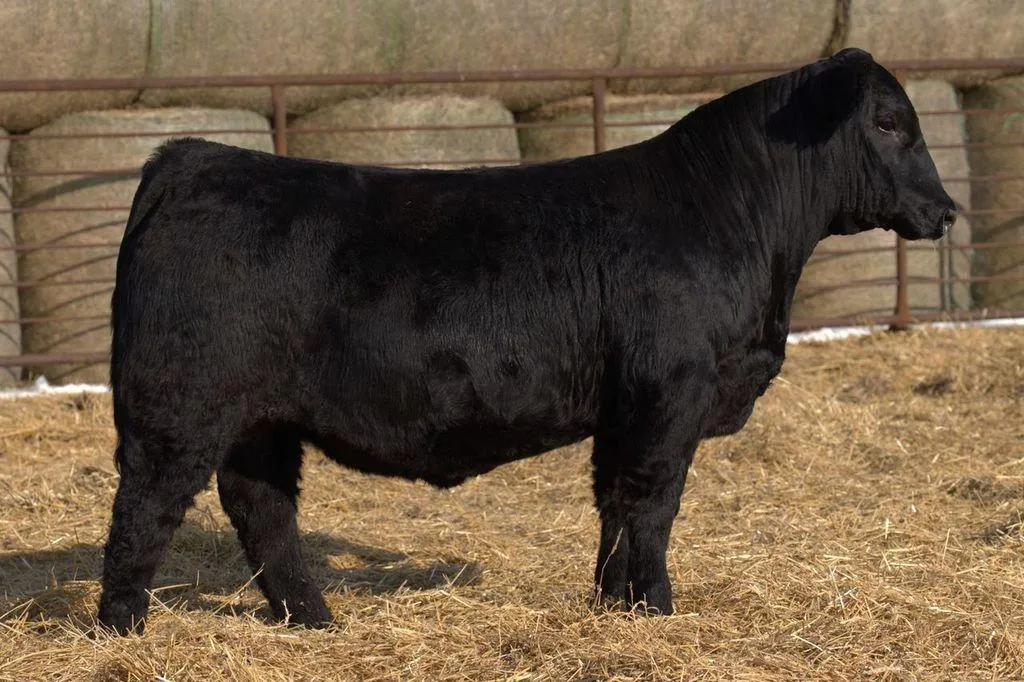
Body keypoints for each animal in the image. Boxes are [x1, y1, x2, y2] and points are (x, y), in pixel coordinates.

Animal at [97, 47, 957, 635]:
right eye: (888, 123)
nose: (946, 210)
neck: (728, 217)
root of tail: (193, 158)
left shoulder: (623, 411)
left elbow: (615, 506)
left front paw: (613, 605)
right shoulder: (668, 396)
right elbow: (653, 505)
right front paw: (657, 610)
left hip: (260, 421)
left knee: (262, 509)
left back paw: (313, 619)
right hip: (178, 409)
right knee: (144, 508)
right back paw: (123, 628)